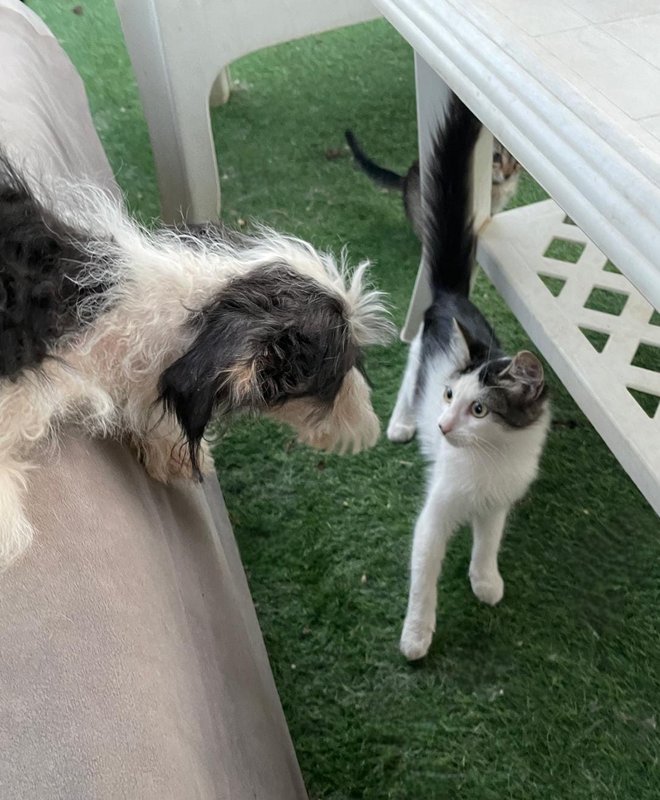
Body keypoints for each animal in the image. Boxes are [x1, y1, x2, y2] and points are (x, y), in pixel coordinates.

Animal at [386, 96, 550, 661]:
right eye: (450, 395)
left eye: (479, 410)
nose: (441, 426)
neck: (491, 460)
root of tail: (454, 295)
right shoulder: (435, 514)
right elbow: (423, 576)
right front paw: (416, 635)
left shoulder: (498, 504)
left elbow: (487, 542)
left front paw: (486, 581)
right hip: (420, 348)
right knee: (407, 377)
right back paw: (400, 424)